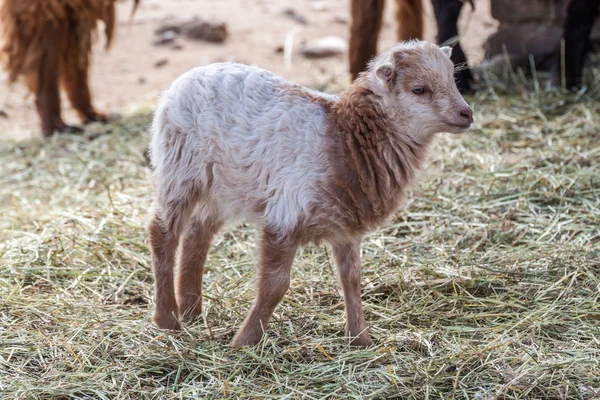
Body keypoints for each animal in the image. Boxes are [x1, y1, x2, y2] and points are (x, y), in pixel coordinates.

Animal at [146, 39, 474, 346]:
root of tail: (187, 76)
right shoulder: (286, 215)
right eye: (419, 89)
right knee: (163, 232)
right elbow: (276, 285)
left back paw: (192, 310)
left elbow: (351, 279)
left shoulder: (347, 225)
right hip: (180, 167)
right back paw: (168, 318)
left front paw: (360, 339)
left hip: (224, 186)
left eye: (452, 79)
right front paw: (244, 342)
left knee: (197, 234)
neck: (346, 136)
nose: (466, 114)